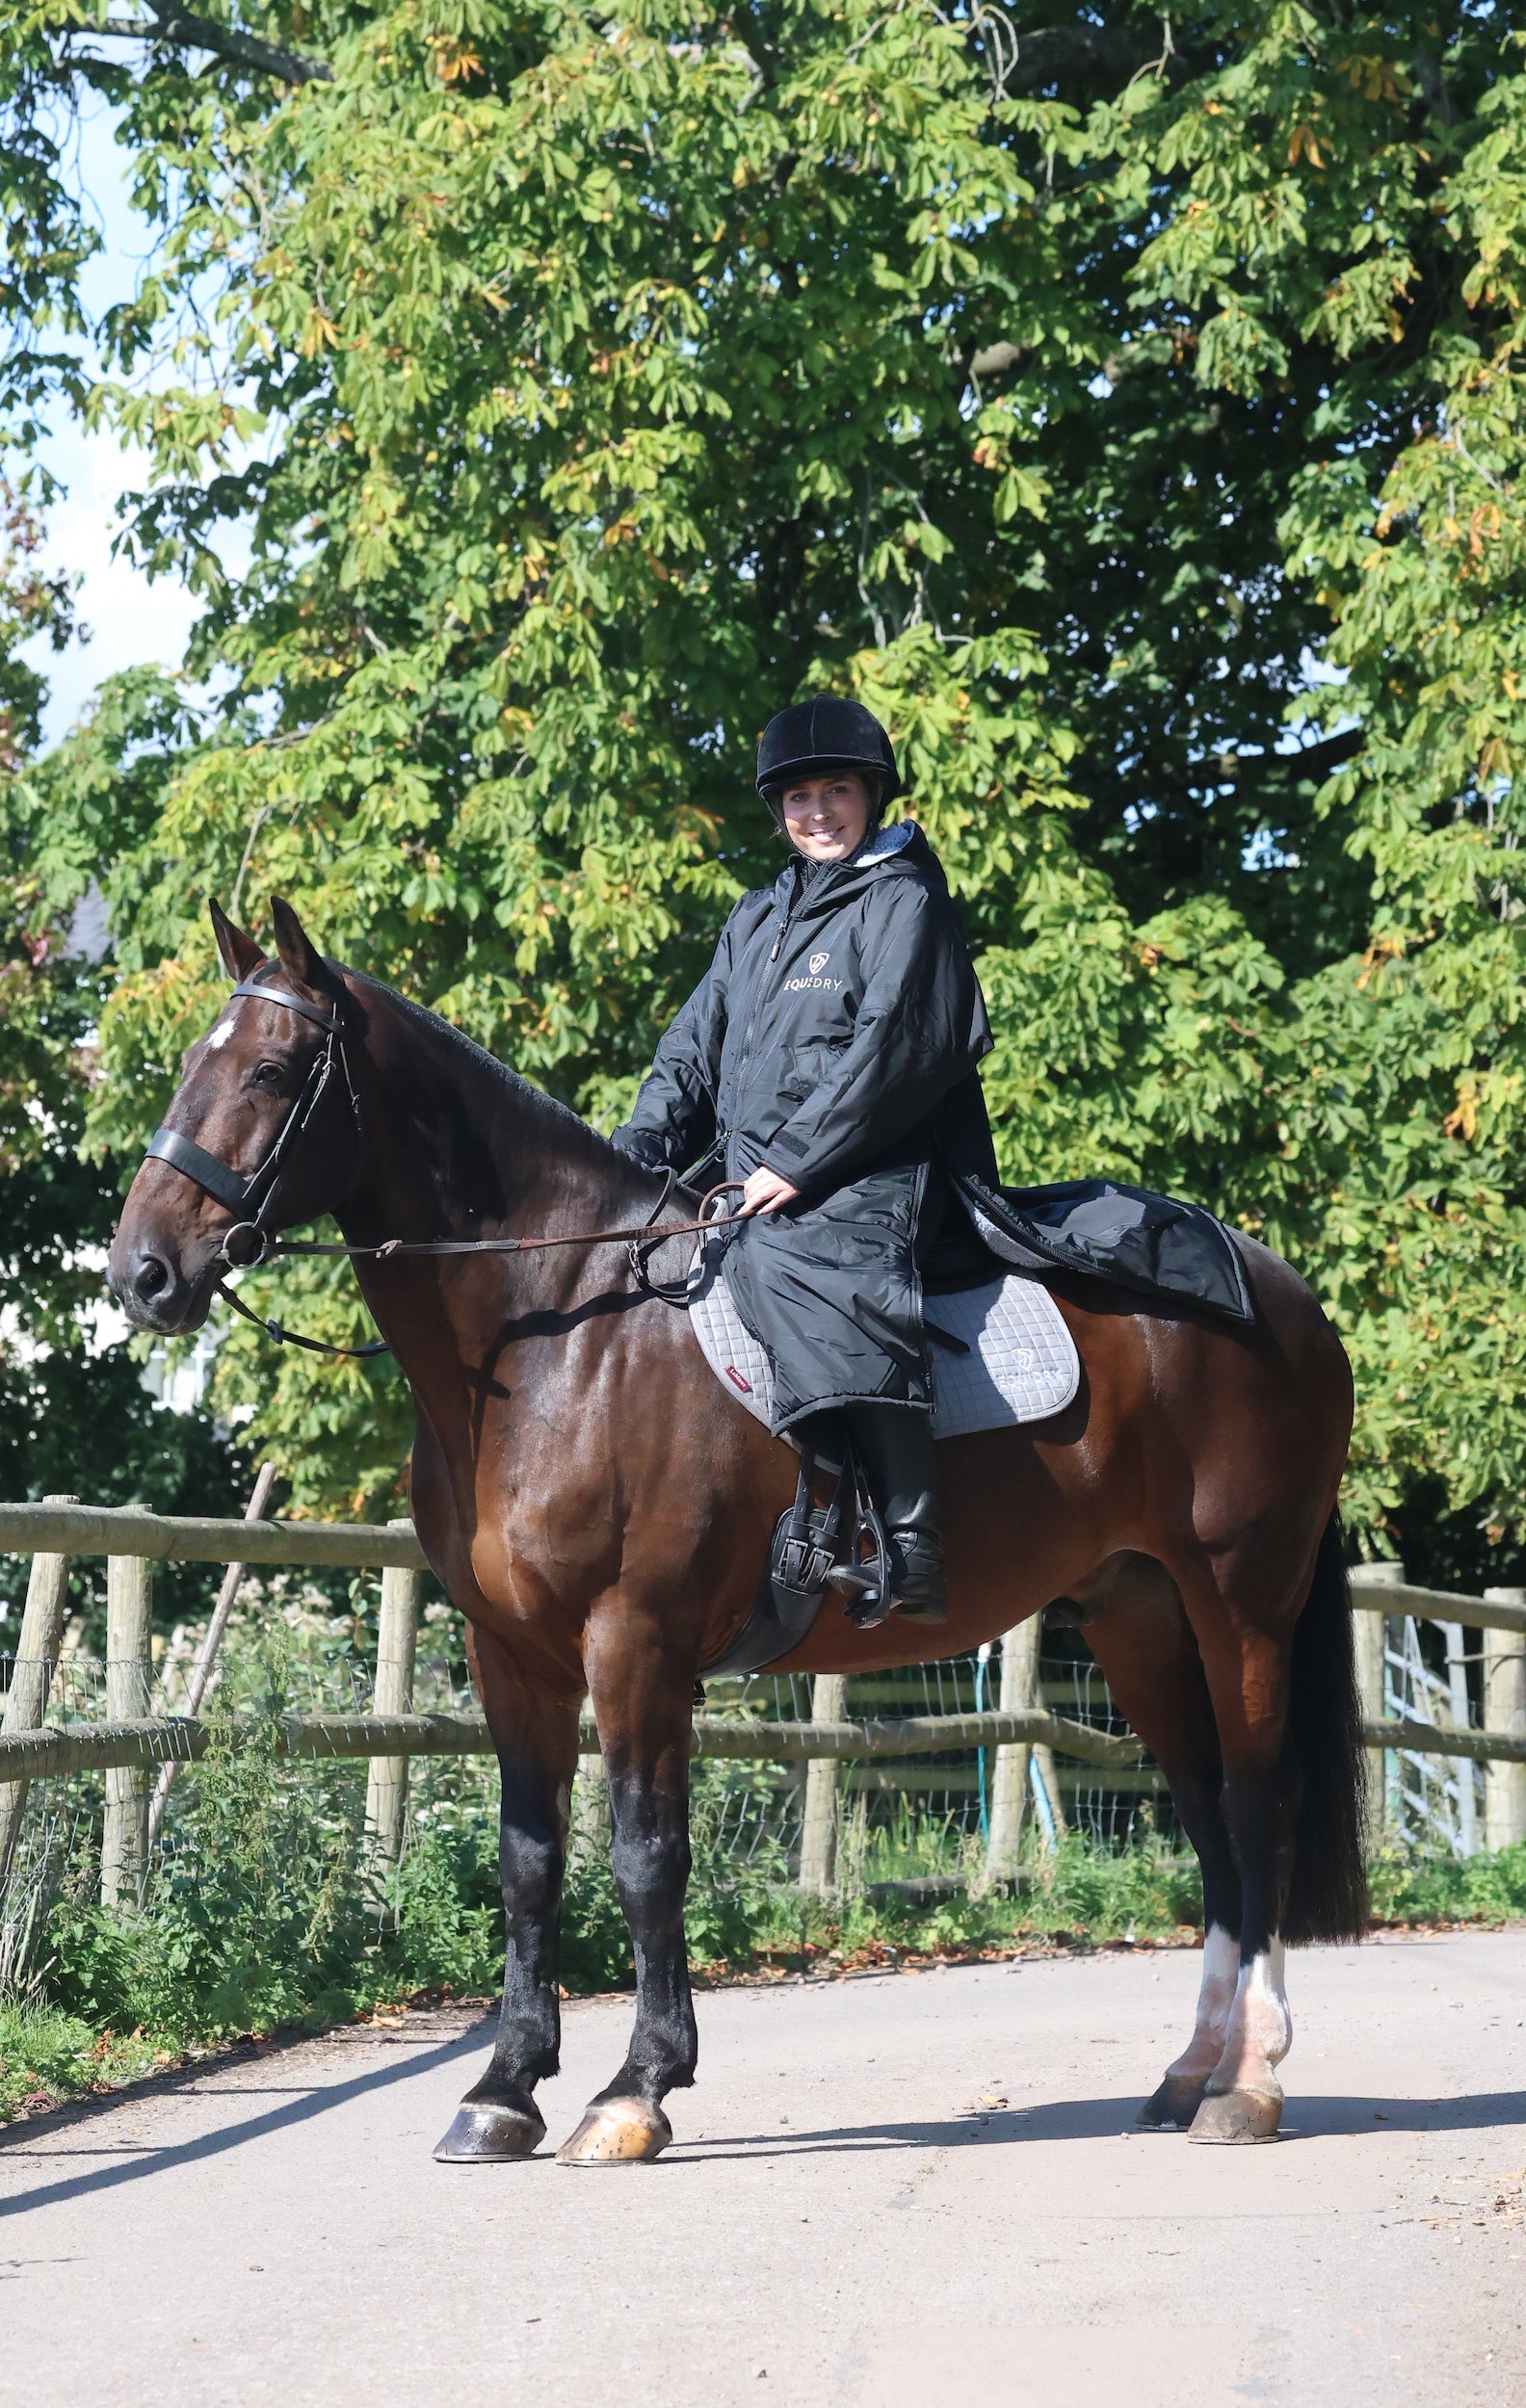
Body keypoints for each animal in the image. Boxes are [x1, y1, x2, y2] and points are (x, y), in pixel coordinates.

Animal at [106, 896, 1365, 2163]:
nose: (142, 1275)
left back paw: (1248, 2083)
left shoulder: (636, 1643)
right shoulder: (510, 1654)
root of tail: (1284, 1296)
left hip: (1238, 1604)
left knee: (1255, 1810)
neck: (560, 1334)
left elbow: (645, 1856)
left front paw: (635, 2086)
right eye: (188, 1064)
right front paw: (504, 2086)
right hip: (1135, 1612)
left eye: (271, 1070)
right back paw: (1188, 2072)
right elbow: (529, 1859)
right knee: (1206, 1817)